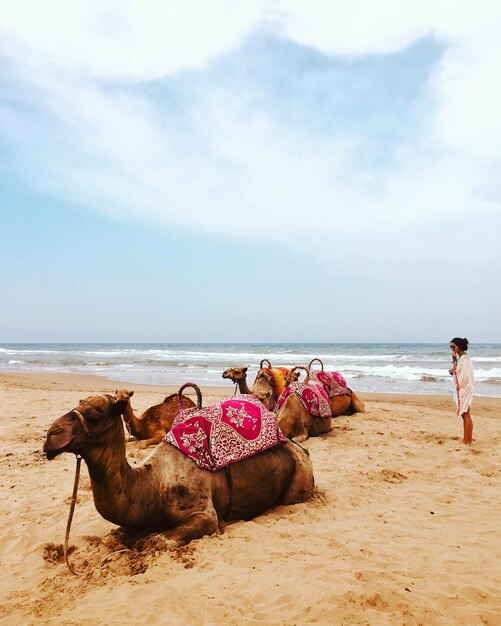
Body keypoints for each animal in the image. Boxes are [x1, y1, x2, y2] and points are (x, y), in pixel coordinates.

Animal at [45, 392, 314, 544]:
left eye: (96, 413)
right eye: (79, 403)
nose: (51, 436)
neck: (154, 484)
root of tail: (302, 450)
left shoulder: (204, 513)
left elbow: (156, 541)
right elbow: (116, 536)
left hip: (300, 480)